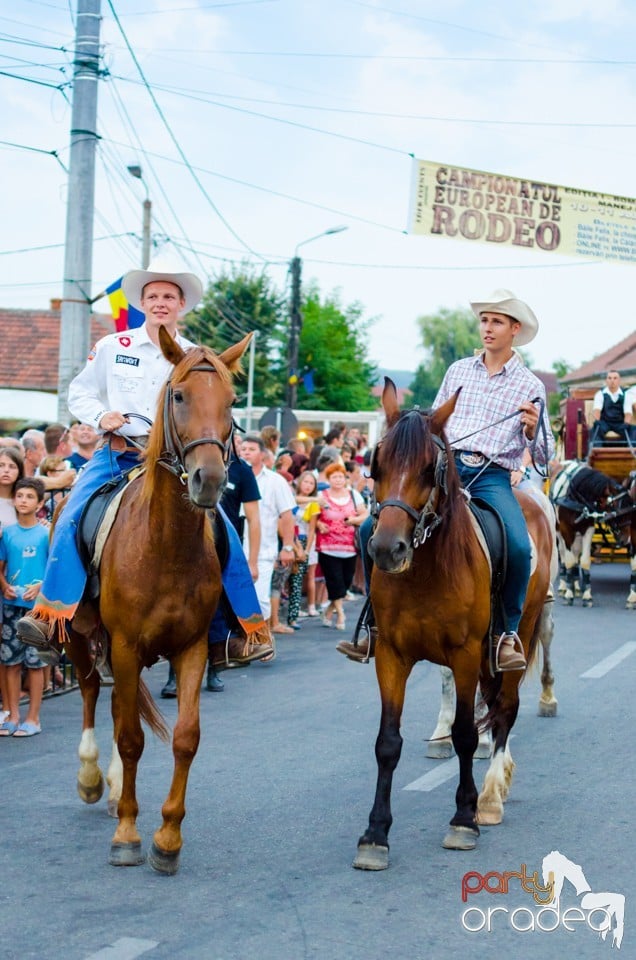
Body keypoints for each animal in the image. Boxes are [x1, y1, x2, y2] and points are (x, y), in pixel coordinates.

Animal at [65, 326, 251, 872]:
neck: (165, 546)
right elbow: (131, 739)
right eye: (180, 395)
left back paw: (109, 791)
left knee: (112, 704)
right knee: (91, 691)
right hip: (80, 636)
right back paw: (91, 779)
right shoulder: (126, 645)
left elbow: (185, 737)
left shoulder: (191, 647)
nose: (210, 480)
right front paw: (128, 834)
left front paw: (167, 838)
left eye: (232, 402)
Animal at [356, 380, 556, 872]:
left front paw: (464, 820)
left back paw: (491, 794)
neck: (427, 568)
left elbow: (467, 733)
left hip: (519, 635)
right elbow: (387, 742)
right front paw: (375, 834)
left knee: (505, 708)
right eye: (376, 462)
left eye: (430, 467)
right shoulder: (391, 655)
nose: (387, 548)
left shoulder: (465, 653)